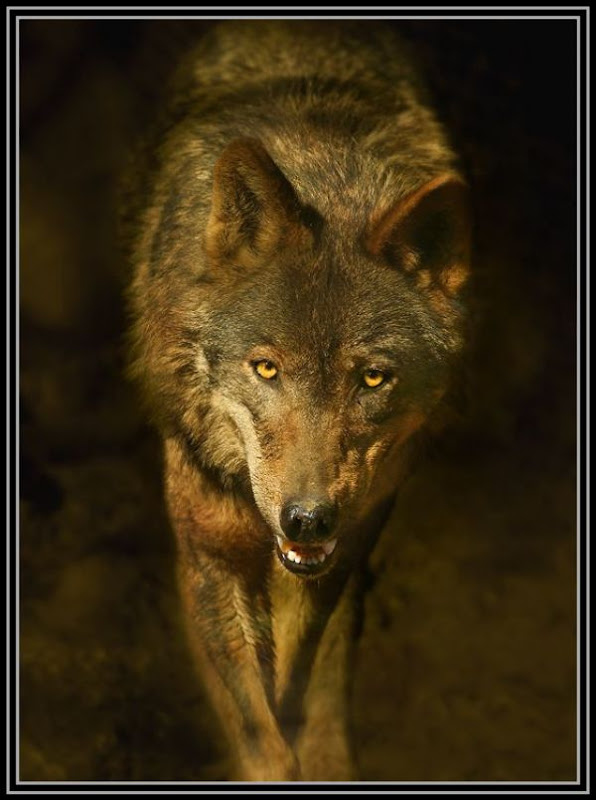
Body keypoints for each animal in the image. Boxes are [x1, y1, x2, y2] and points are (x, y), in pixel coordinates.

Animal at [123, 20, 471, 782]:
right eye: (266, 368)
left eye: (372, 379)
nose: (306, 518)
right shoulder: (210, 559)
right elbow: (258, 732)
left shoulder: (342, 551)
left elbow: (305, 683)